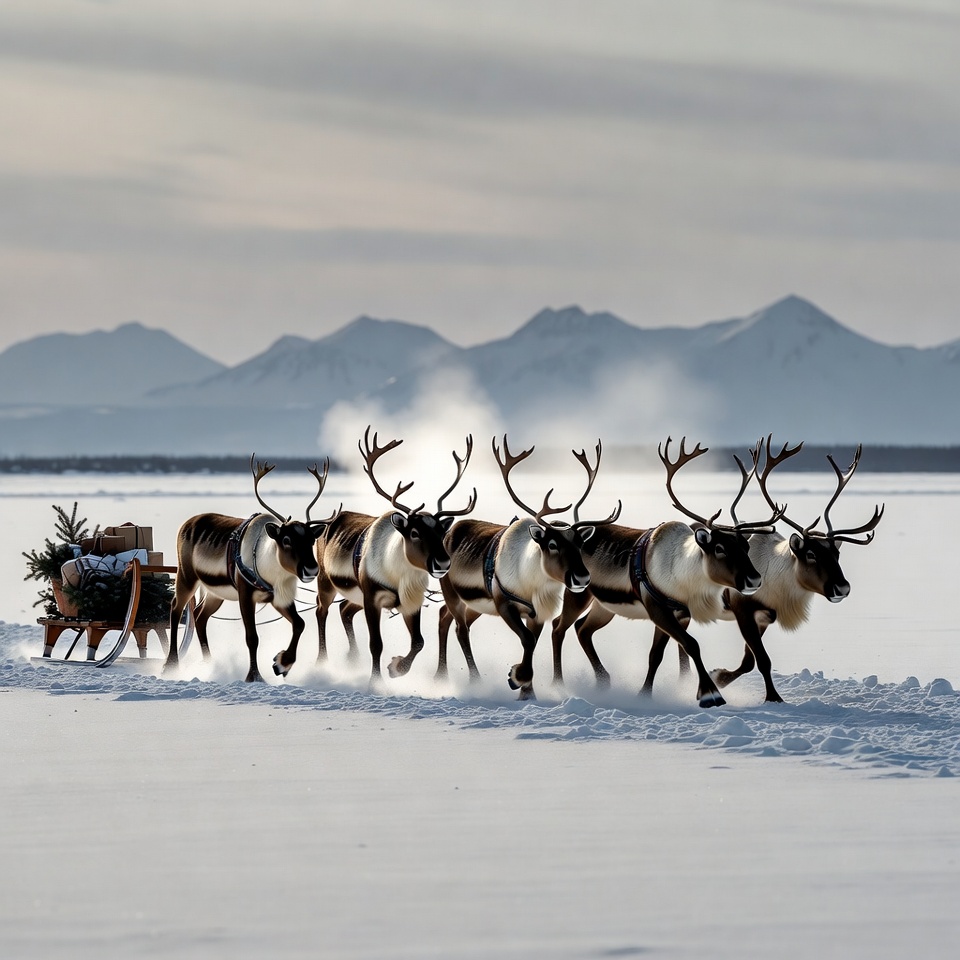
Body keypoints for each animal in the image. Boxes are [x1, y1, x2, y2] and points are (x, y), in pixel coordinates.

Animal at [165, 456, 338, 683]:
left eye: (311, 539)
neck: (271, 571)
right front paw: (254, 676)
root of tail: (186, 524)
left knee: (199, 615)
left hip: (215, 592)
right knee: (176, 609)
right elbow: (252, 637)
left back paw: (210, 663)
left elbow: (299, 623)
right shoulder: (245, 594)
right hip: (186, 576)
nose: (311, 569)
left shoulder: (279, 597)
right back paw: (170, 664)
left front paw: (281, 663)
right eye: (286, 540)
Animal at [271, 426, 477, 686]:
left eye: (441, 532)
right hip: (326, 581)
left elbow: (419, 641)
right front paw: (375, 681)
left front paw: (396, 667)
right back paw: (321, 662)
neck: (398, 575)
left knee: (344, 610)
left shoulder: (410, 601)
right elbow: (376, 644)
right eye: (415, 532)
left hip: (354, 594)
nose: (443, 562)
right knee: (321, 611)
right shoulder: (372, 598)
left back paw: (352, 658)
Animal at [435, 436, 621, 700]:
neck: (532, 583)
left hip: (475, 603)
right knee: (460, 628)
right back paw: (472, 680)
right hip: (452, 591)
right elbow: (526, 639)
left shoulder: (538, 613)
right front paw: (517, 677)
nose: (582, 577)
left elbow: (532, 641)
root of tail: (449, 532)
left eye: (580, 543)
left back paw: (441, 676)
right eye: (552, 544)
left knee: (446, 617)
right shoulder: (504, 604)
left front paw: (527, 690)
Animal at [549, 437, 783, 708]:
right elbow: (691, 645)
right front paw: (710, 694)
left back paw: (603, 680)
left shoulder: (680, 614)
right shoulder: (657, 608)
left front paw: (645, 693)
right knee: (558, 627)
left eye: (745, 546)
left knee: (582, 629)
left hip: (604, 605)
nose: (754, 579)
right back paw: (557, 684)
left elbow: (657, 655)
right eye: (719, 548)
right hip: (578, 592)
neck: (684, 578)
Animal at [704, 435, 885, 702]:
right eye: (810, 554)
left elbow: (749, 662)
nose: (842, 587)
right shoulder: (742, 608)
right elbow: (763, 660)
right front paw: (773, 698)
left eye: (837, 553)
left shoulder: (764, 617)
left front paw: (718, 676)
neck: (776, 580)